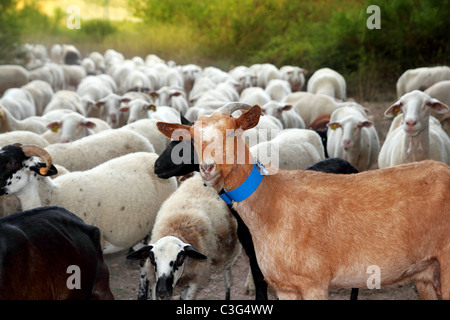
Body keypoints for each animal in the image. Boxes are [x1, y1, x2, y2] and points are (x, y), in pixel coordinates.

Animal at [126, 172, 241, 300]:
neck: (176, 230)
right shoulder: (155, 281)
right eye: (151, 258)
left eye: (180, 258)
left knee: (228, 278)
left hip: (231, 252)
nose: (162, 292)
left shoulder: (195, 278)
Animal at [157, 102, 450, 300]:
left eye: (231, 133)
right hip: (426, 272)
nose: (207, 168)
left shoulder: (314, 283)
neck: (271, 202)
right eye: (193, 139)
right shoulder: (284, 286)